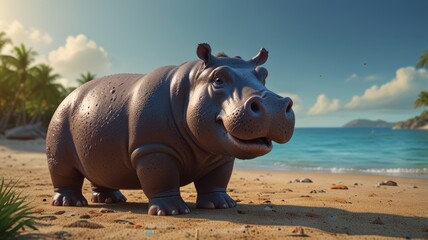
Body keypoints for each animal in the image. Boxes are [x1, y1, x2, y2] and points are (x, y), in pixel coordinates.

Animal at [46, 43, 294, 216]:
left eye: (265, 75)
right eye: (218, 79)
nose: (274, 106)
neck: (192, 81)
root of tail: (69, 95)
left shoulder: (220, 155)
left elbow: (217, 179)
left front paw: (221, 205)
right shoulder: (154, 148)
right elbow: (161, 176)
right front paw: (172, 211)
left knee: (101, 169)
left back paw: (111, 200)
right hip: (60, 121)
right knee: (63, 168)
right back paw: (71, 203)